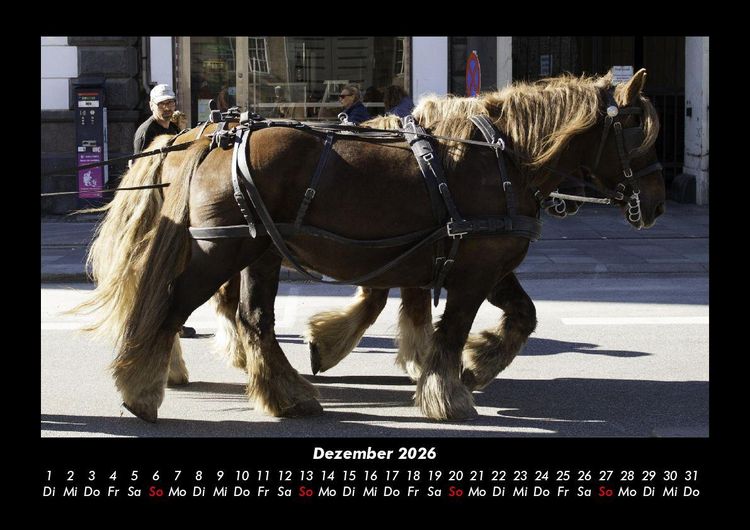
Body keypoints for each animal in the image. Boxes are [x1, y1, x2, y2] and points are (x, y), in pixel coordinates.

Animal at [76, 69, 664, 423]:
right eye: (638, 129)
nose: (656, 204)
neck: (502, 154)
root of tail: (209, 137)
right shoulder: (473, 269)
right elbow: (451, 328)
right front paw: (448, 392)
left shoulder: (477, 261)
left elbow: (520, 317)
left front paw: (474, 366)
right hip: (223, 251)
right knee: (174, 307)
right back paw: (141, 388)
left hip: (258, 252)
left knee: (252, 318)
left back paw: (285, 393)